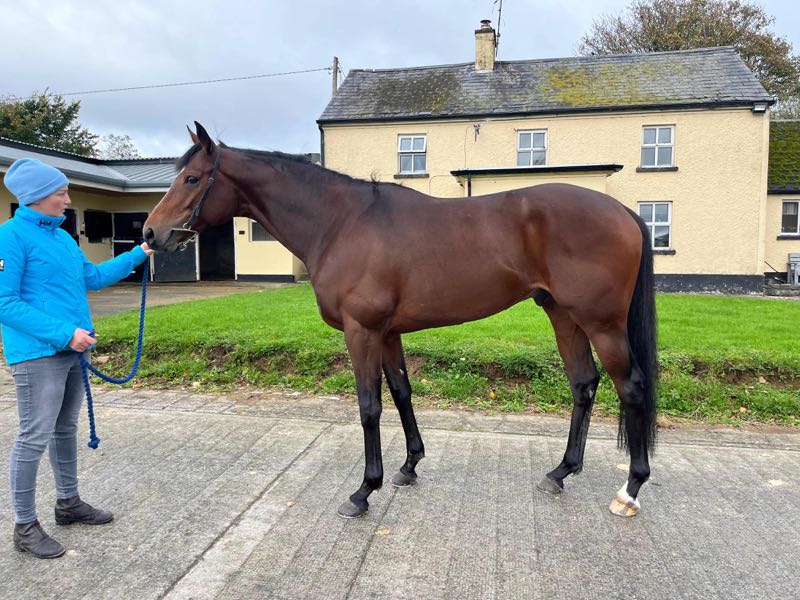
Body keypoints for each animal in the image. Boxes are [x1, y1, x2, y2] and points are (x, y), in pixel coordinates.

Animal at [143, 122, 658, 519]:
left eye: (192, 178)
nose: (150, 233)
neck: (342, 223)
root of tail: (623, 211)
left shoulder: (362, 332)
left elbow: (369, 406)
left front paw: (363, 491)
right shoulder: (387, 333)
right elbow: (402, 392)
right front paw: (409, 467)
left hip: (602, 324)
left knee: (630, 387)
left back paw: (630, 490)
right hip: (563, 316)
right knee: (584, 385)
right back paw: (560, 472)